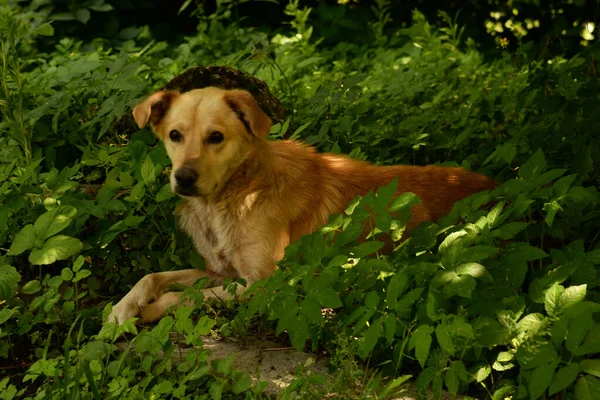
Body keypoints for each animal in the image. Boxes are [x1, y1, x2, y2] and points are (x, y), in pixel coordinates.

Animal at [106, 87, 496, 324]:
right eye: (175, 135)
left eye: (216, 137)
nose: (184, 178)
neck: (238, 193)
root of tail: (496, 187)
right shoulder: (222, 272)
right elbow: (154, 276)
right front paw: (122, 308)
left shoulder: (263, 284)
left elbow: (183, 298)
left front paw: (147, 311)